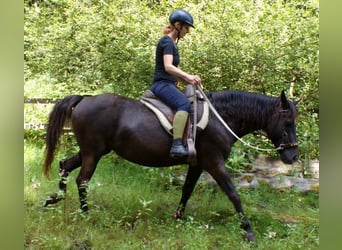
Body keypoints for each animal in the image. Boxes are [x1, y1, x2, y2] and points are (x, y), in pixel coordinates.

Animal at [43, 89, 300, 241]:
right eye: (288, 122)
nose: (293, 156)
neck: (221, 118)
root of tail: (85, 99)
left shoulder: (198, 164)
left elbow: (187, 190)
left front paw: (178, 218)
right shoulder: (214, 162)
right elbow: (233, 194)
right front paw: (247, 231)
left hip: (91, 151)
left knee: (65, 165)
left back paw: (54, 200)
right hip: (93, 153)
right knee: (82, 180)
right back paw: (85, 214)